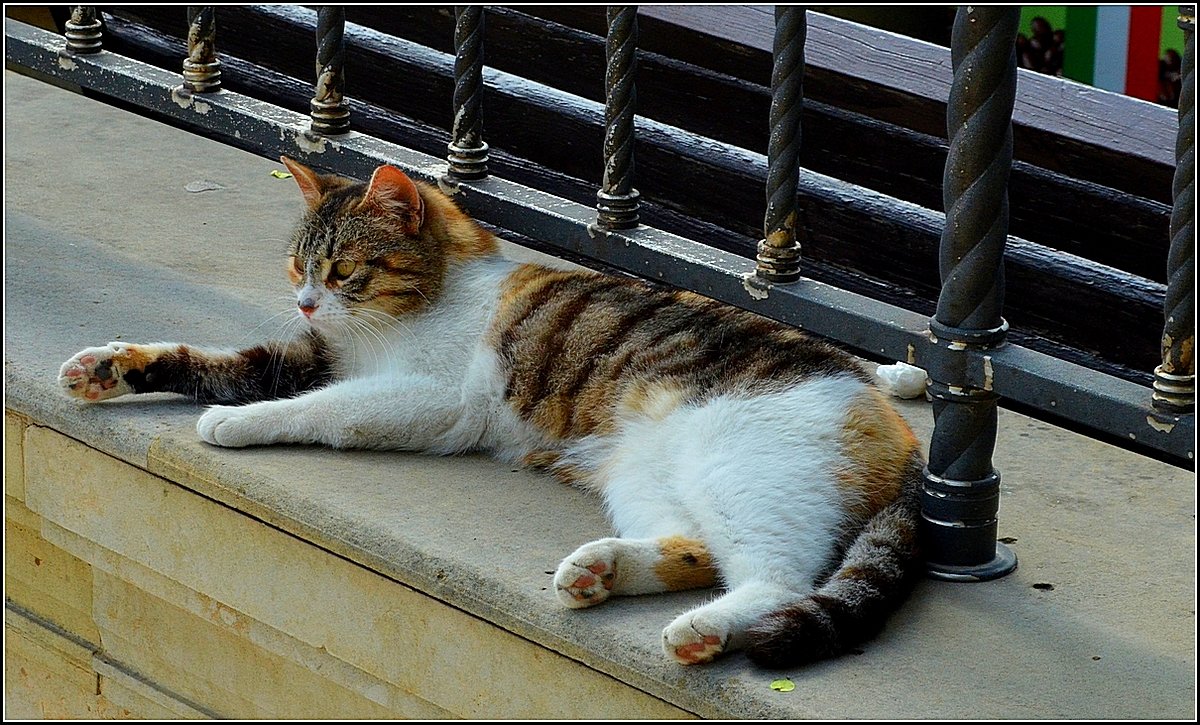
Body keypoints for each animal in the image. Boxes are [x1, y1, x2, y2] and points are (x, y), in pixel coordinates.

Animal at [56, 159, 921, 667]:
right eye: (297, 264)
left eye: (343, 270)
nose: (304, 301)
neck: (410, 309)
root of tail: (892, 421)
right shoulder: (316, 353)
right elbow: (222, 363)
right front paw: (107, 367)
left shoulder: (433, 401)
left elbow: (323, 406)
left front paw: (236, 425)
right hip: (643, 471)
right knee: (693, 547)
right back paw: (598, 571)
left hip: (739, 465)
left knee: (777, 575)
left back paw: (702, 628)